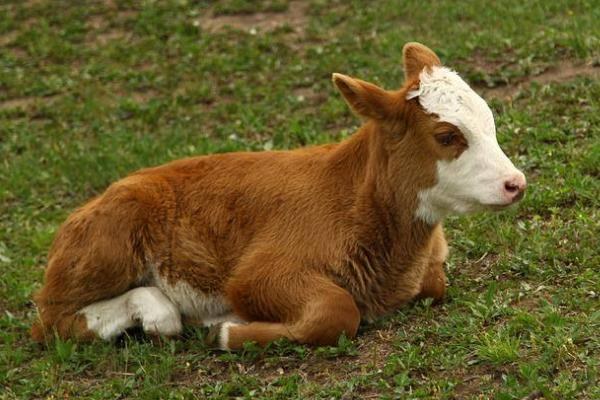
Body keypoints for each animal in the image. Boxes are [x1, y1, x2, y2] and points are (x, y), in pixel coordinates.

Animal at [31, 43, 524, 350]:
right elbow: (336, 311)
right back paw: (156, 310)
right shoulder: (258, 273)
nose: (515, 183)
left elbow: (435, 284)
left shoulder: (430, 266)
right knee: (50, 320)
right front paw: (225, 330)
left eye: (490, 120)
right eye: (446, 136)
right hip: (107, 244)